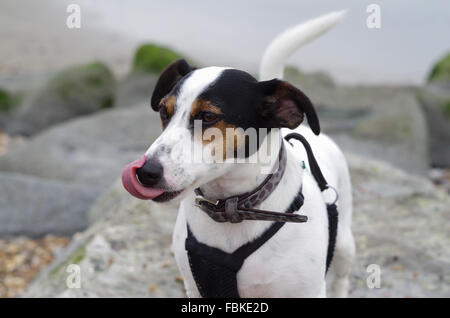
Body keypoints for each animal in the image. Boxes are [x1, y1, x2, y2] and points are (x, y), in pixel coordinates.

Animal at [122, 10, 356, 298]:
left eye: (208, 116)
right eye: (164, 112)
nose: (146, 172)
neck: (231, 208)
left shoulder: (307, 291)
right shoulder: (195, 288)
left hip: (344, 244)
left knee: (341, 278)